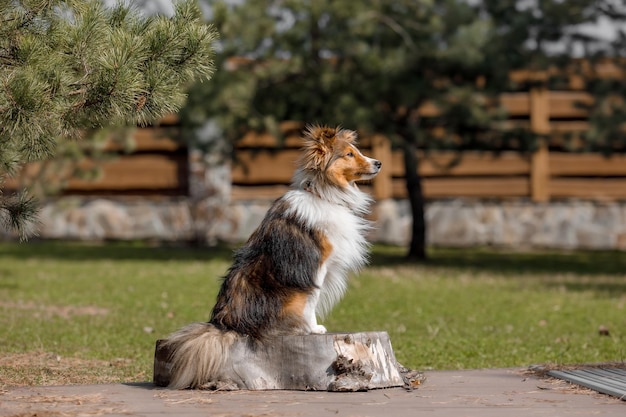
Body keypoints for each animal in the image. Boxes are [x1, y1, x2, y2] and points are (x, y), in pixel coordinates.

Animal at [161, 123, 380, 386]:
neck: (324, 193)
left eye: (356, 151)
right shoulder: (316, 265)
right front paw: (314, 328)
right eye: (349, 154)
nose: (378, 163)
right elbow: (312, 300)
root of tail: (227, 325)